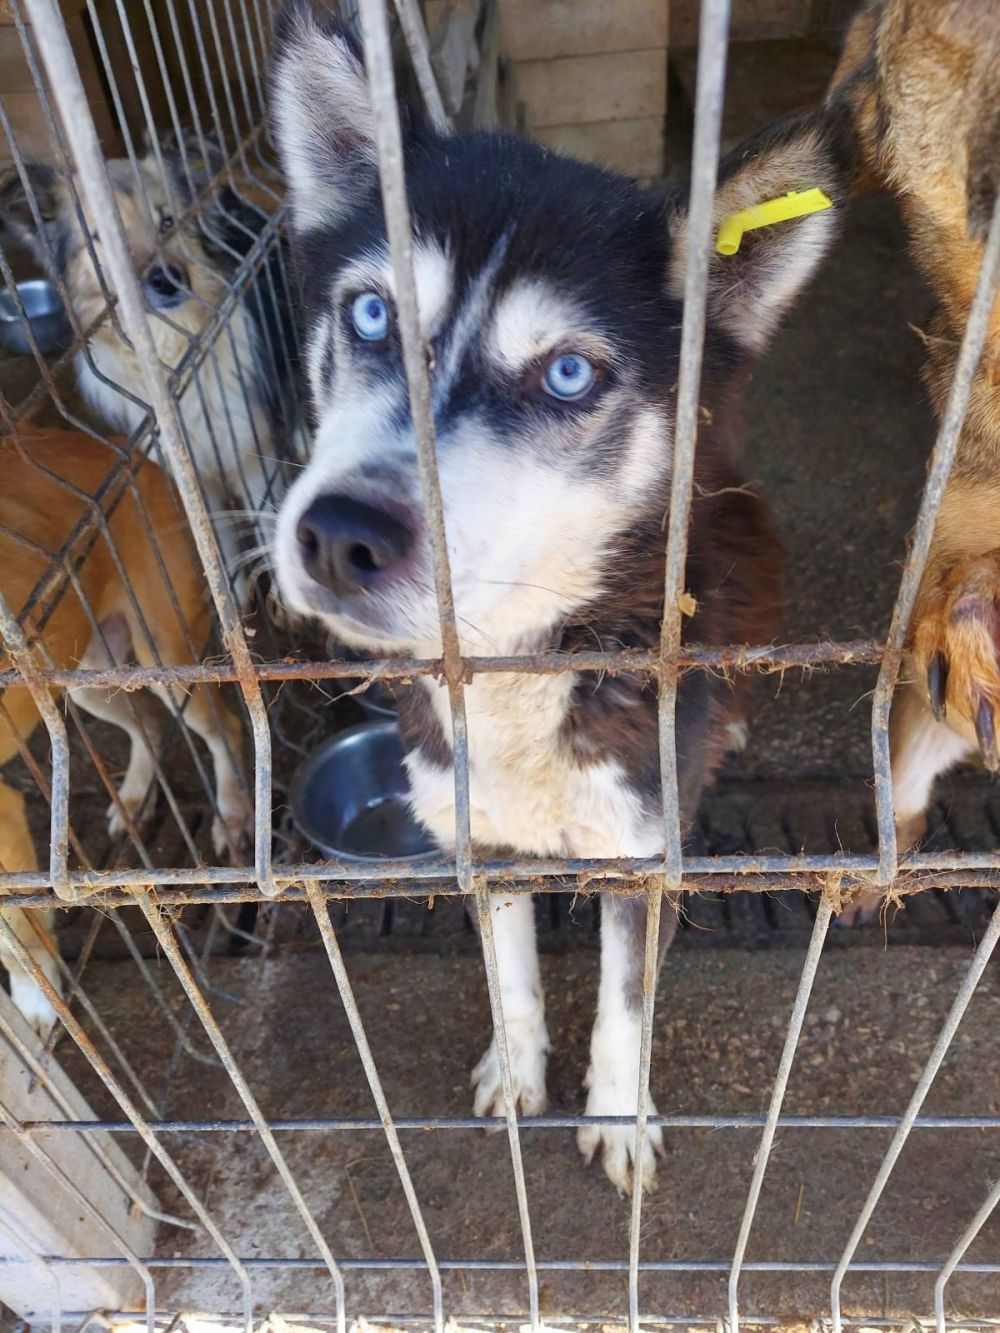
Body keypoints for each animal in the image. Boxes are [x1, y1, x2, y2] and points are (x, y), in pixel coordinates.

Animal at [0, 144, 289, 605]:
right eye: (100, 239)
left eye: (166, 221)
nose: (169, 279)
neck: (169, 358)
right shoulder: (191, 474)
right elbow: (217, 539)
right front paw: (230, 590)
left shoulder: (251, 452)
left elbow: (265, 520)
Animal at [270, 0, 848, 1189]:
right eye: (369, 314)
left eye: (568, 374)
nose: (341, 534)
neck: (516, 662)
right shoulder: (480, 835)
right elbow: (512, 969)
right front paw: (516, 1069)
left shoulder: (638, 858)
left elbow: (624, 1006)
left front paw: (617, 1116)